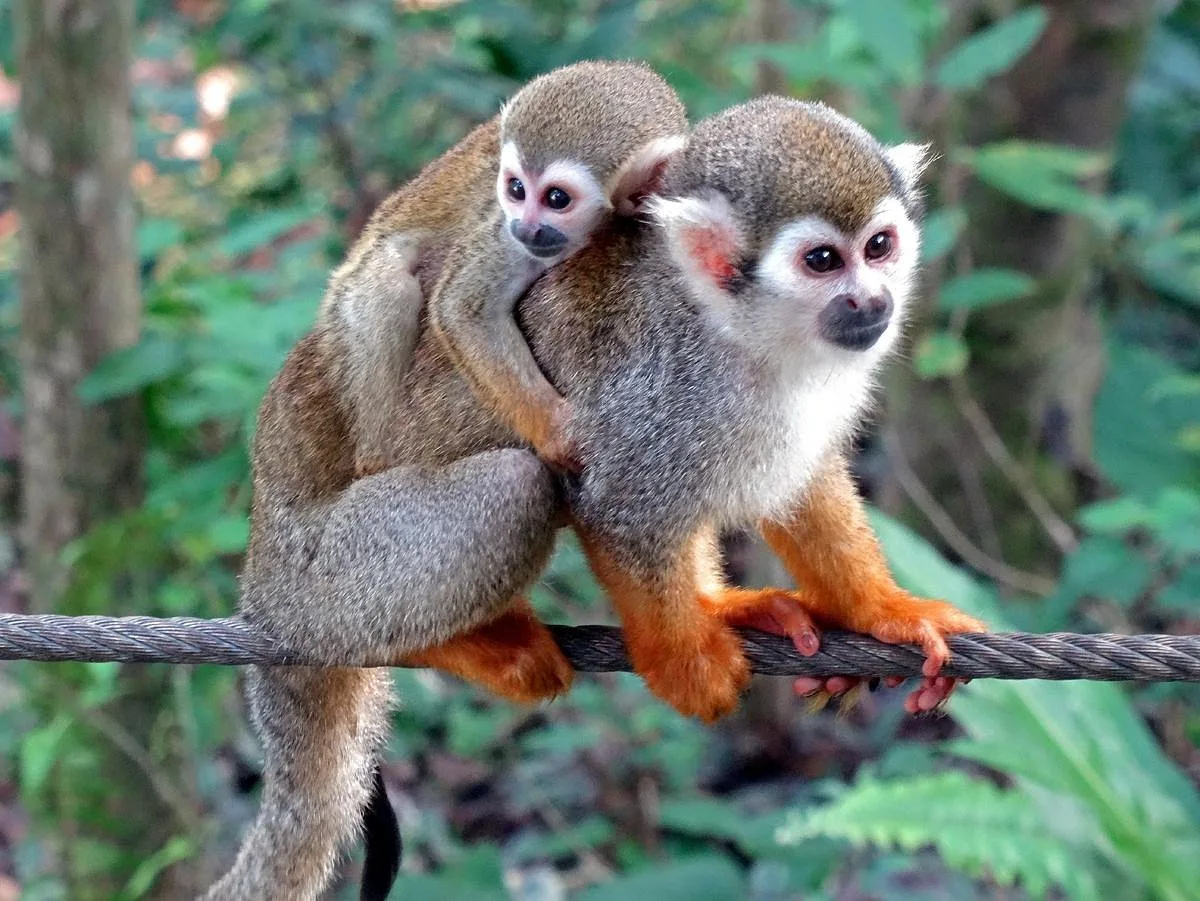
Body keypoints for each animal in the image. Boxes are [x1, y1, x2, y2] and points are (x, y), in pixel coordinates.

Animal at [324, 60, 687, 477]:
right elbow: (464, 308)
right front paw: (554, 433)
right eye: (516, 189)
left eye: (556, 198)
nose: (526, 228)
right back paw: (376, 461)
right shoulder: (504, 228)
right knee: (389, 288)